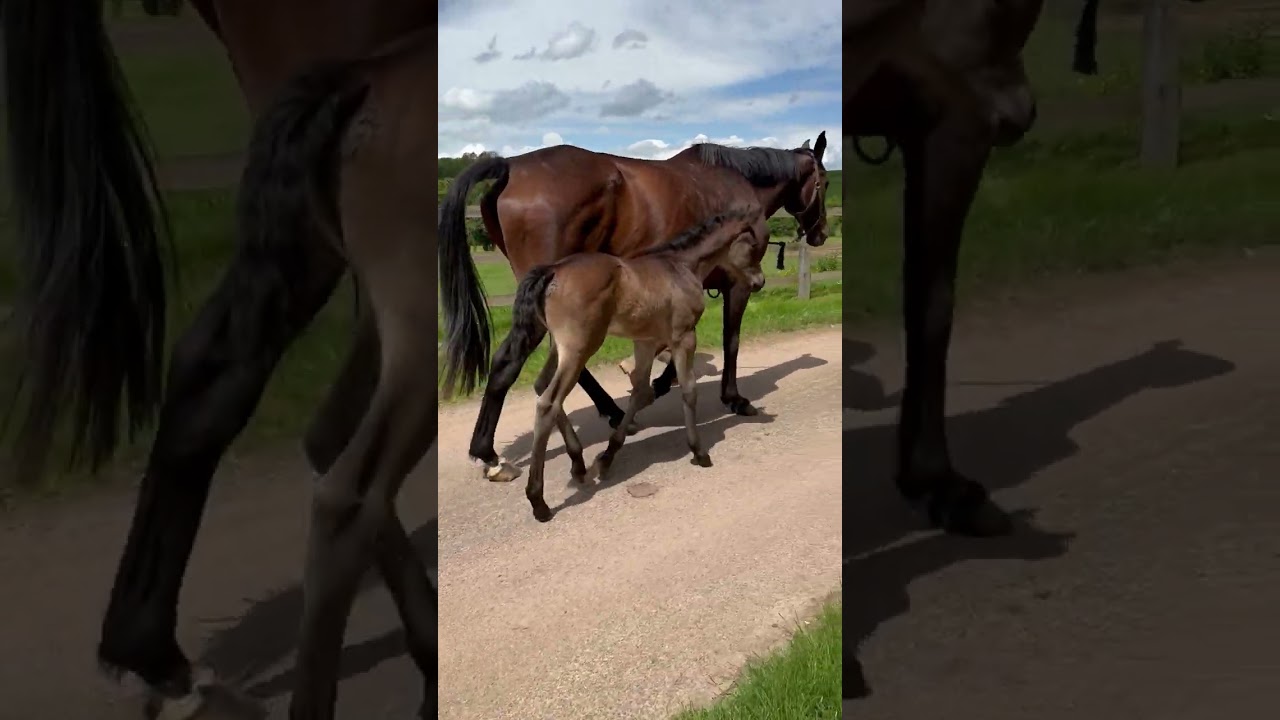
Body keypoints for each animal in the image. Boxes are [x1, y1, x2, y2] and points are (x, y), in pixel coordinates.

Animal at [438, 136, 831, 485]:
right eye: (825, 182)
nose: (821, 234)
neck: (739, 182)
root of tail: (510, 165)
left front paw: (657, 382)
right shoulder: (737, 285)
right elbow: (730, 340)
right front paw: (733, 398)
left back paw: (608, 415)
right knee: (512, 362)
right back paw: (490, 455)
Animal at [501, 209, 768, 522]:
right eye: (753, 246)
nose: (760, 282)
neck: (681, 267)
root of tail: (552, 270)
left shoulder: (646, 341)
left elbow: (640, 392)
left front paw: (606, 457)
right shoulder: (684, 336)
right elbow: (688, 390)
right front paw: (699, 452)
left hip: (559, 347)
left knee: (542, 386)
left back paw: (578, 463)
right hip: (580, 348)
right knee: (548, 402)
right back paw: (538, 501)